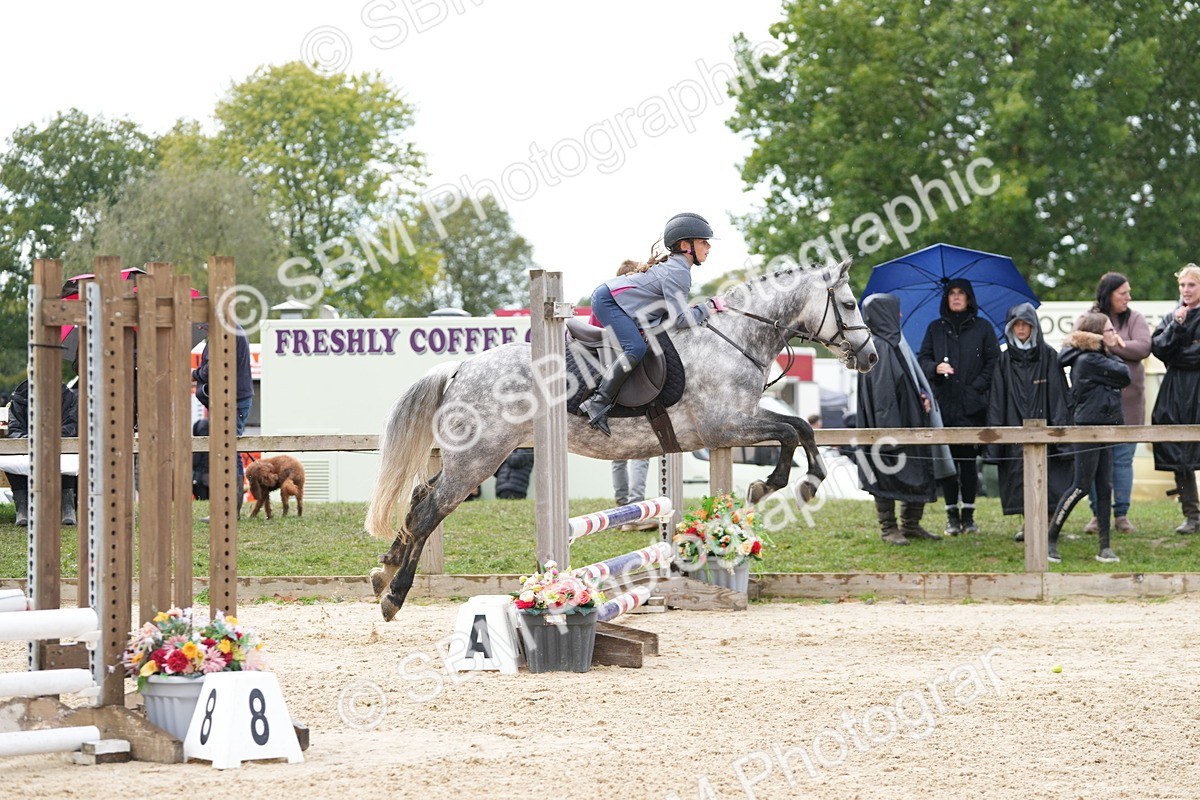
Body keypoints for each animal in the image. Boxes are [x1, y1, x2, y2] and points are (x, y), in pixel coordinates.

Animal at [365, 259, 877, 620]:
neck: (733, 337)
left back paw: (382, 570)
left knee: (419, 498)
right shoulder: (726, 426)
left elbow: (802, 428)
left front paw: (800, 483)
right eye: (850, 304)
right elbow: (790, 432)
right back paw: (395, 595)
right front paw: (777, 485)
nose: (870, 357)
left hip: (470, 455)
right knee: (430, 510)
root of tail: (461, 366)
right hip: (479, 457)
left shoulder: (737, 421)